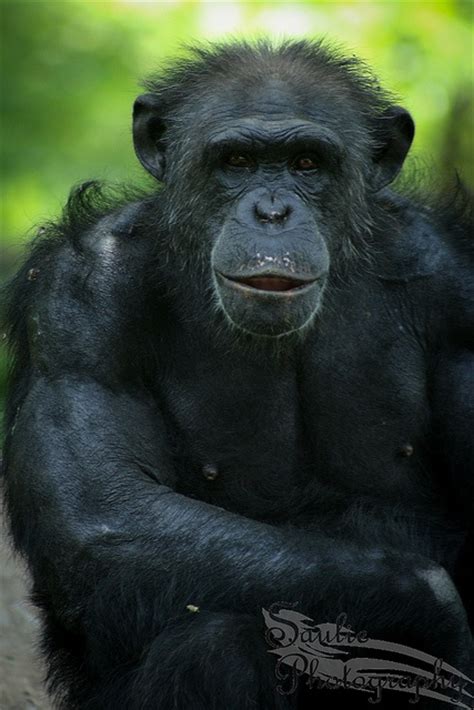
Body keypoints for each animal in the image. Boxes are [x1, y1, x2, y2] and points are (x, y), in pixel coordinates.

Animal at [2, 40, 474, 710]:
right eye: (238, 161)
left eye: (307, 163)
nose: (272, 211)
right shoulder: (79, 305)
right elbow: (102, 513)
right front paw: (432, 609)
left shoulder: (460, 287)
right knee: (217, 643)